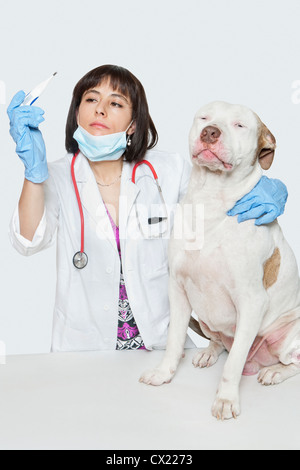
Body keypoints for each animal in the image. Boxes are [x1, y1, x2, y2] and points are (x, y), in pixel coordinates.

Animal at [139, 102, 300, 418]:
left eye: (240, 125)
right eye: (204, 117)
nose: (210, 132)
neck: (211, 200)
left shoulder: (252, 301)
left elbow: (234, 362)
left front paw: (226, 400)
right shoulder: (177, 289)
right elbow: (174, 341)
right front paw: (164, 374)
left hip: (292, 334)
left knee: (290, 362)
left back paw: (275, 371)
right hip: (204, 317)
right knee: (219, 342)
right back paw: (208, 353)